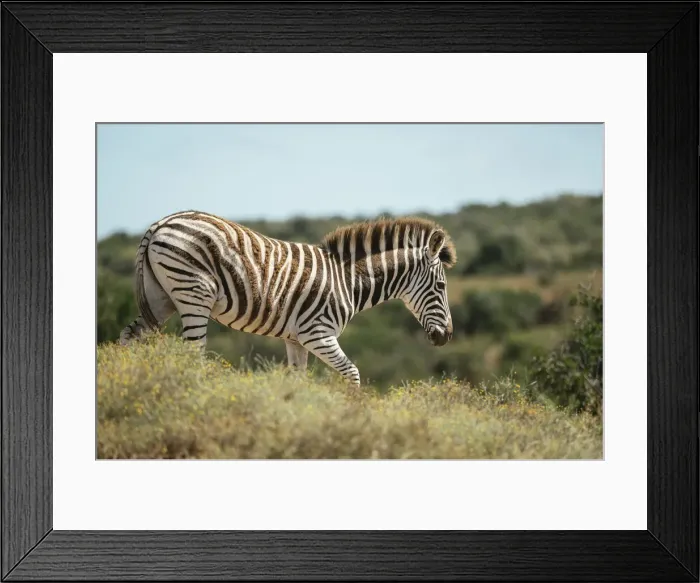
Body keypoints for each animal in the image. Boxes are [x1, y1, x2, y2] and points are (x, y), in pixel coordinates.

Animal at [120, 210, 457, 386]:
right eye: (441, 286)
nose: (446, 337)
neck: (348, 281)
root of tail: (161, 222)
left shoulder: (295, 339)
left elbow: (298, 380)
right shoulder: (317, 333)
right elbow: (352, 372)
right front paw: (353, 415)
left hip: (161, 298)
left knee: (129, 335)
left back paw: (125, 381)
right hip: (194, 295)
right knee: (193, 353)